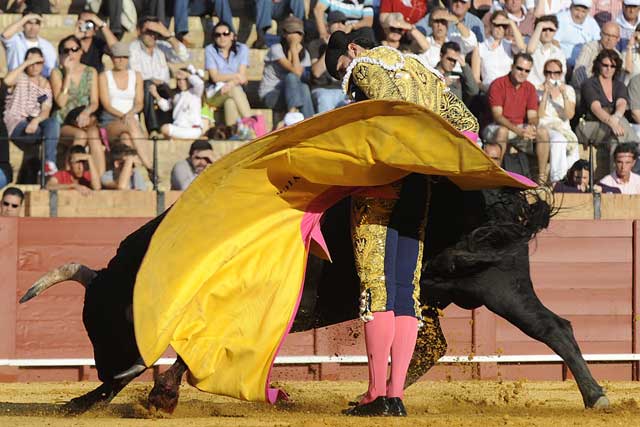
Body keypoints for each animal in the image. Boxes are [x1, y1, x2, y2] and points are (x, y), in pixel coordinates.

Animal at [20, 178, 608, 414]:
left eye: (102, 320)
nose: (101, 370)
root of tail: (509, 198)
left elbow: (186, 358)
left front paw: (134, 398)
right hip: (488, 286)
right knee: (544, 328)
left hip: (495, 285)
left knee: (549, 329)